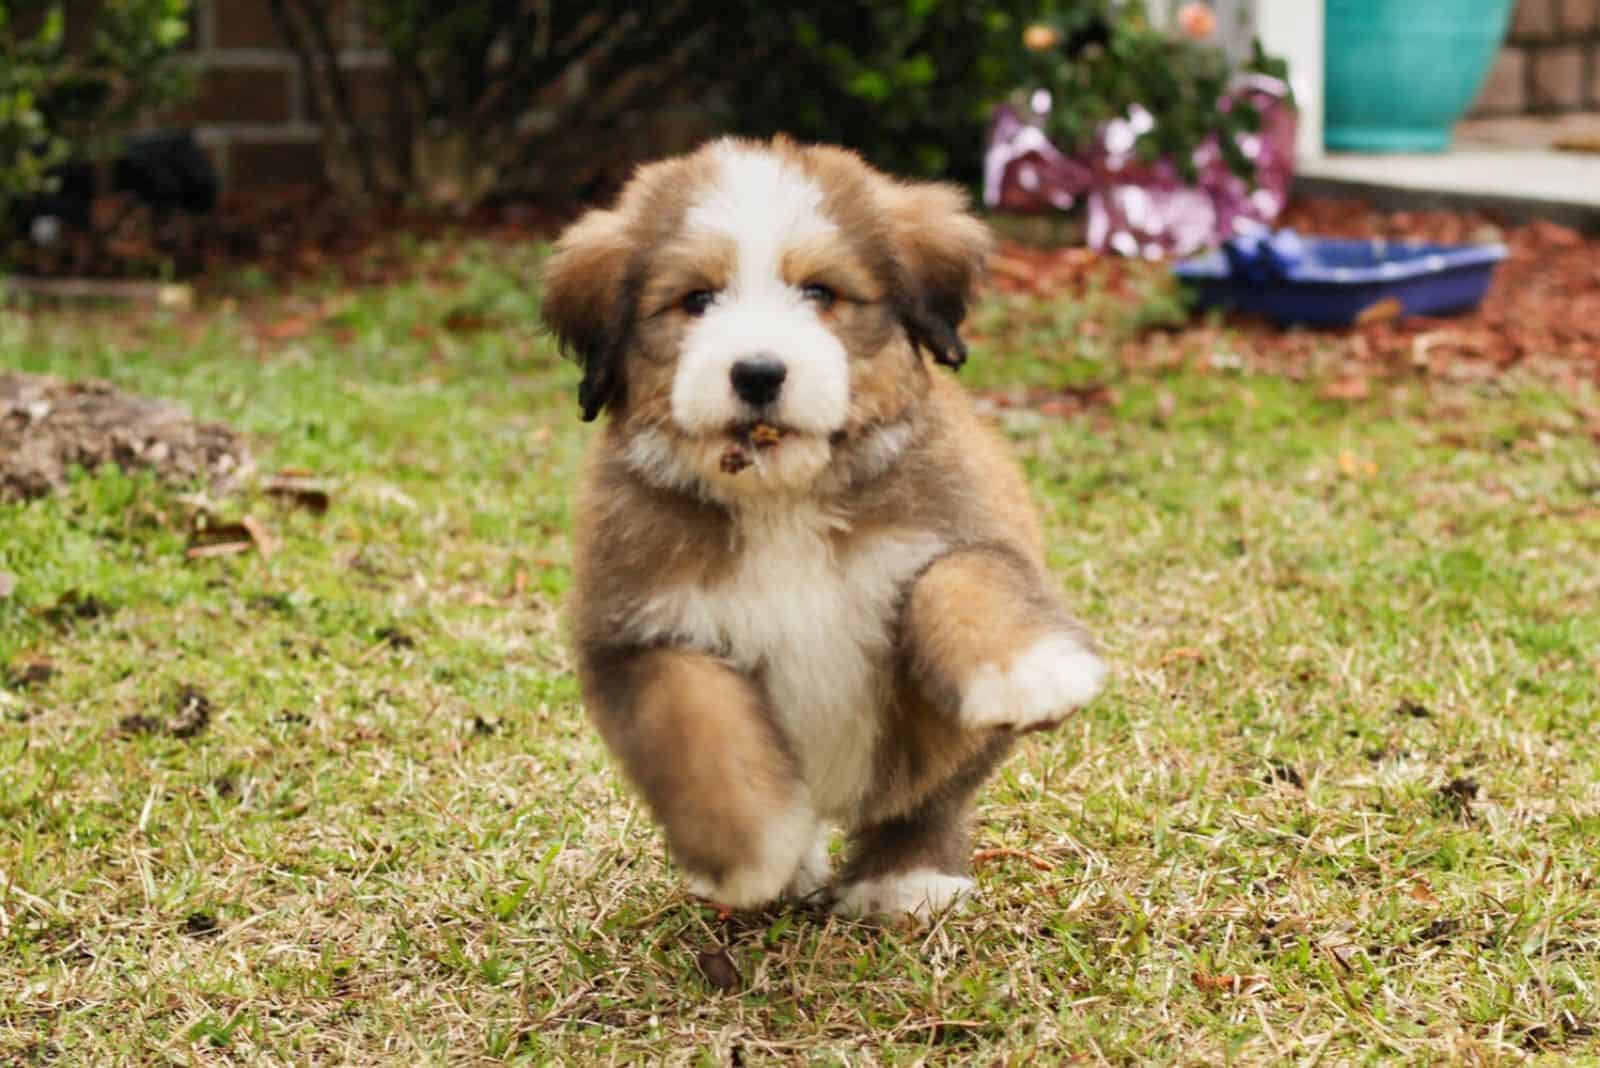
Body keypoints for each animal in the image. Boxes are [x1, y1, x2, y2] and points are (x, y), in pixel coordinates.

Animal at [544, 135, 1107, 920]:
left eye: (820, 294)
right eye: (696, 300)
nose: (757, 373)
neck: (784, 500)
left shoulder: (960, 520)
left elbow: (960, 577)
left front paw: (1028, 672)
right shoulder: (637, 631)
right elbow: (696, 723)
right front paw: (748, 854)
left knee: (925, 799)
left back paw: (906, 878)